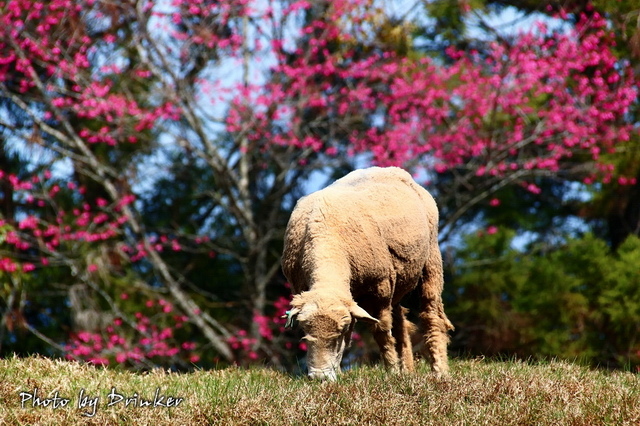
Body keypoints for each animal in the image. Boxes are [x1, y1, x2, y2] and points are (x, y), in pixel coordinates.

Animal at [282, 166, 456, 380]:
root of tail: (392, 169)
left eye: (337, 334)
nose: (319, 378)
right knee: (400, 322)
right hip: (397, 279)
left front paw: (391, 370)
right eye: (305, 332)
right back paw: (407, 369)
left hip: (431, 259)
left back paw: (440, 371)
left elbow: (381, 331)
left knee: (431, 314)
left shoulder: (380, 289)